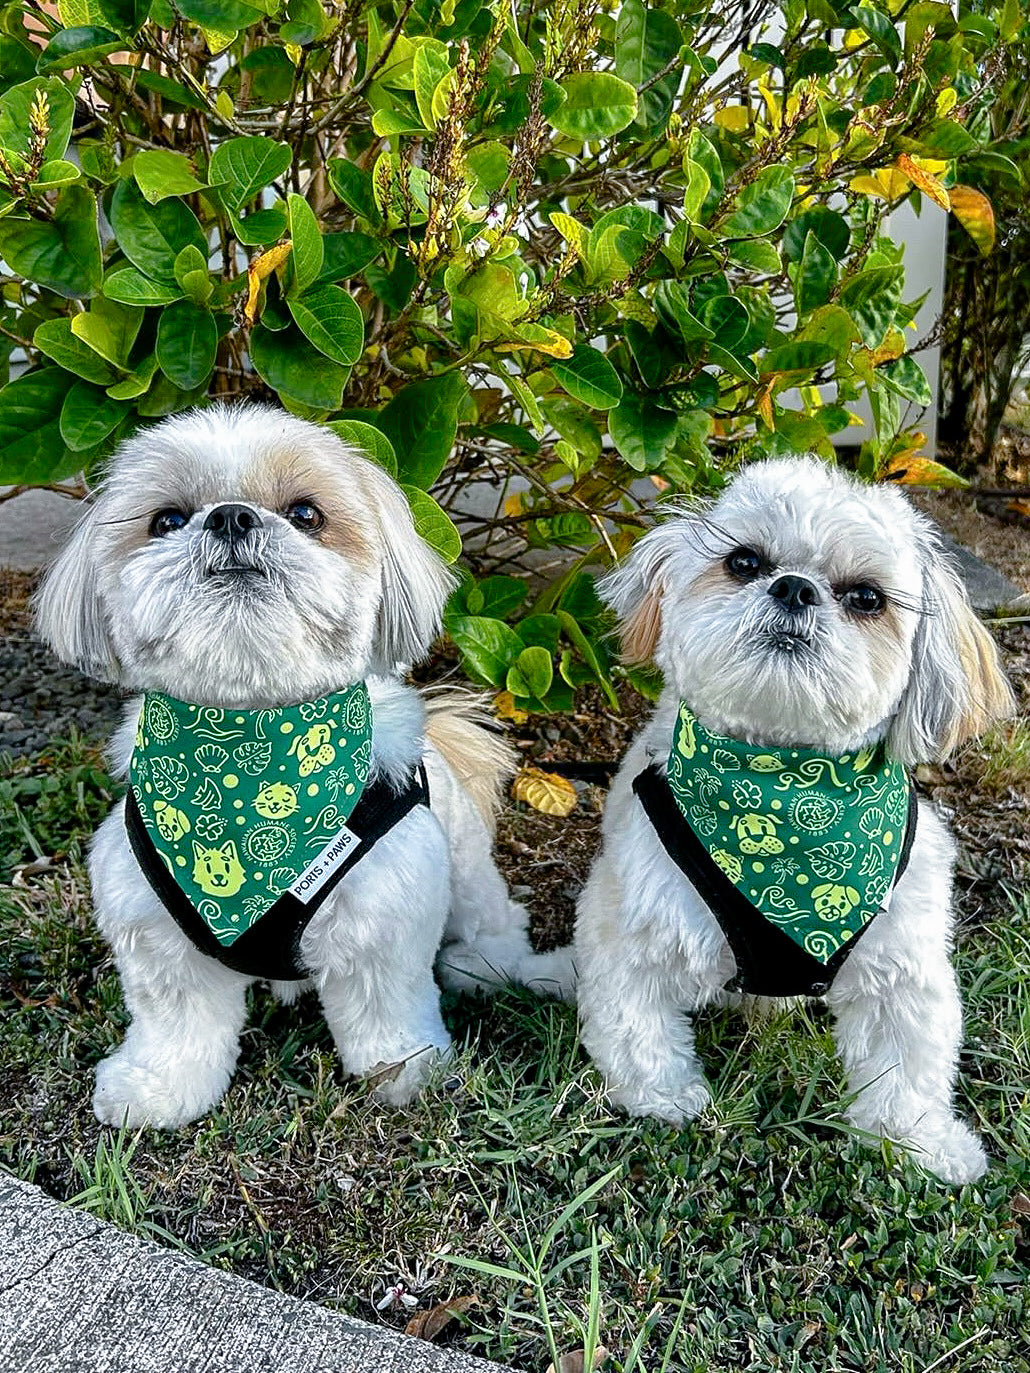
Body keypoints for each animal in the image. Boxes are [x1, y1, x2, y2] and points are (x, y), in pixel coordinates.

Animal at [38, 400, 574, 1125]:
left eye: (305, 514)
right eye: (167, 520)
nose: (231, 516)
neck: (247, 753)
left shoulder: (384, 921)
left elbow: (386, 1013)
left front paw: (406, 1072)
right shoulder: (158, 937)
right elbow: (176, 1026)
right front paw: (157, 1088)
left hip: (465, 871)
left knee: (494, 923)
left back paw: (486, 966)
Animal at [574, 458, 1016, 1180]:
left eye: (866, 597)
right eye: (744, 561)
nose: (794, 588)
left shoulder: (903, 964)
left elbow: (907, 1069)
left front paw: (921, 1143)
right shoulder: (632, 922)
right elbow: (637, 1025)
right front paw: (663, 1098)